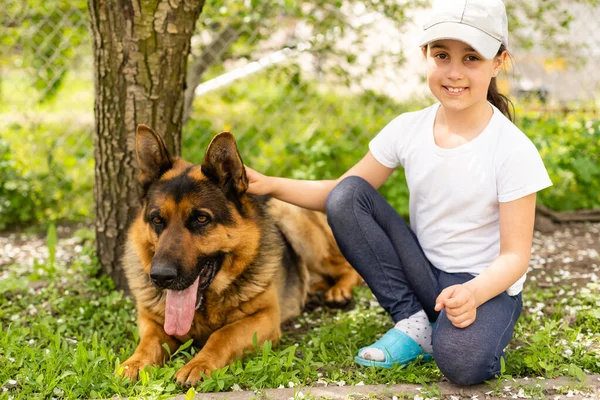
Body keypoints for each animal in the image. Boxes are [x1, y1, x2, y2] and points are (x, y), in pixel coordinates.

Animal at [118, 125, 360, 384]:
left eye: (201, 218)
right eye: (156, 220)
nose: (160, 277)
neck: (204, 307)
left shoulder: (265, 318)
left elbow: (223, 334)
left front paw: (199, 364)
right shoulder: (152, 321)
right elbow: (148, 343)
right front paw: (134, 363)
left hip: (294, 221)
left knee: (347, 267)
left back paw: (338, 291)